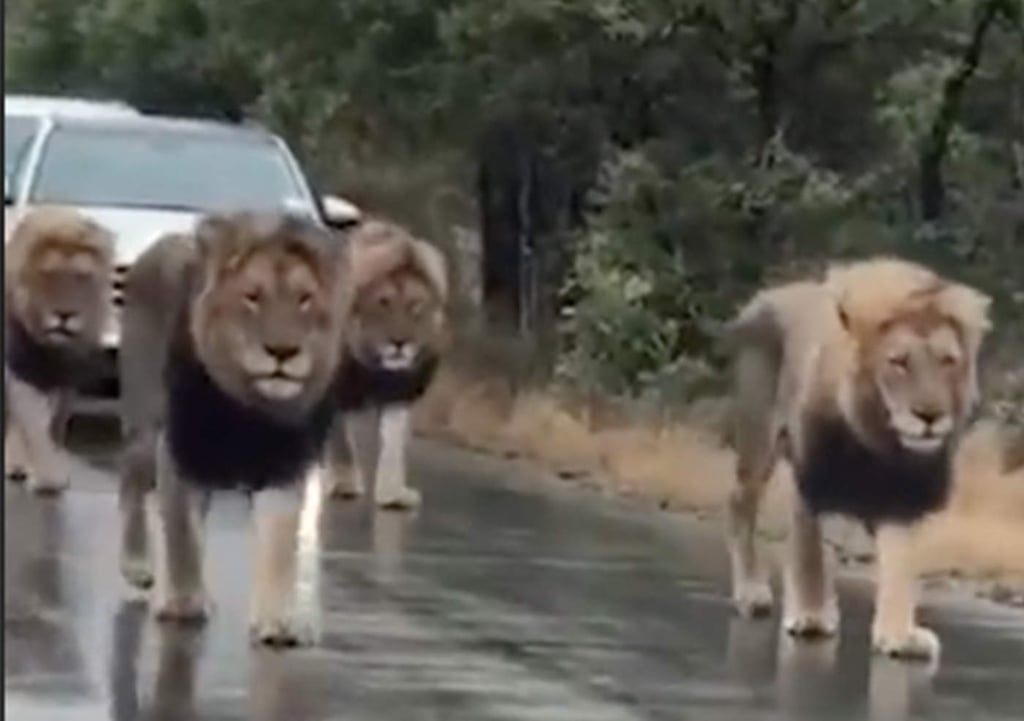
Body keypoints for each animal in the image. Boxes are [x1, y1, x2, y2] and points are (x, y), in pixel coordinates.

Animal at [3, 205, 114, 493]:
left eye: (82, 277)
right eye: (49, 273)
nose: (65, 315)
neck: (53, 349)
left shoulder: (66, 378)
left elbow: (52, 425)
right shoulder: (20, 370)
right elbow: (33, 423)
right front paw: (46, 480)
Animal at [117, 209, 352, 647]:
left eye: (304, 299)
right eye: (252, 296)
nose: (282, 352)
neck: (251, 403)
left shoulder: (284, 468)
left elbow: (278, 545)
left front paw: (276, 623)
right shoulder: (180, 451)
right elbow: (182, 535)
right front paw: (183, 602)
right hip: (144, 424)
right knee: (131, 483)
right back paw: (137, 566)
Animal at [319, 219, 448, 512]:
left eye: (415, 306)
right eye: (383, 303)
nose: (399, 343)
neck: (374, 366)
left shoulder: (399, 391)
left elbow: (393, 446)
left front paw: (393, 495)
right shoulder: (335, 390)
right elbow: (342, 441)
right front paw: (345, 483)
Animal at [720, 256, 991, 663]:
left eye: (947, 361)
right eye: (899, 362)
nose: (929, 415)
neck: (877, 438)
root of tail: (767, 295)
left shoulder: (901, 499)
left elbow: (899, 566)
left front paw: (898, 634)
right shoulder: (812, 478)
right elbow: (810, 552)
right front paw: (811, 615)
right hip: (758, 439)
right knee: (741, 504)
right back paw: (751, 592)